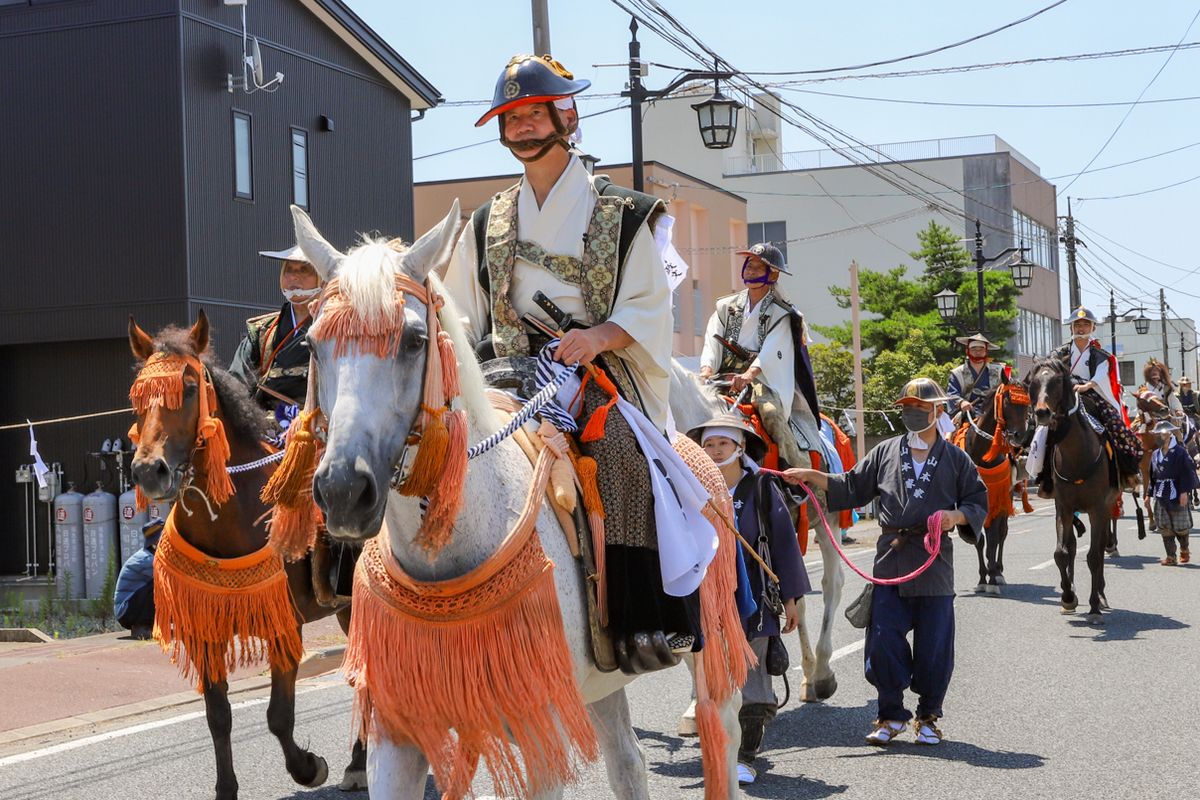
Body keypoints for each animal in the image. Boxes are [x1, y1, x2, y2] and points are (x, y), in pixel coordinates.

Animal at [126, 311, 362, 800]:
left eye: (189, 388)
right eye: (138, 394)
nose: (148, 469)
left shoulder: (283, 620)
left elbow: (278, 717)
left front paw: (309, 768)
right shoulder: (204, 625)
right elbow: (218, 716)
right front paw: (226, 788)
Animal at [290, 203, 739, 796]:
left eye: (413, 340)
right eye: (313, 344)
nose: (344, 490)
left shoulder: (538, 731)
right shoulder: (397, 732)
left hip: (713, 634)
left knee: (722, 729)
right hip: (601, 678)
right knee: (628, 759)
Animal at [955, 381, 1032, 594]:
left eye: (1027, 405)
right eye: (1006, 401)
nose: (1019, 436)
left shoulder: (997, 497)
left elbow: (994, 538)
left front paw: (993, 578)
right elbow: (980, 540)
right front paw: (983, 579)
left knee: (1002, 533)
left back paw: (998, 571)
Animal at [1027, 359, 1118, 623]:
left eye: (1057, 380)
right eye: (1033, 382)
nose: (1042, 412)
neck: (1077, 455)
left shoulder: (1098, 508)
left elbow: (1095, 556)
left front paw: (1094, 604)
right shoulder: (1064, 507)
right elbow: (1061, 553)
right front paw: (1068, 597)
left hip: (1107, 506)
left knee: (1100, 547)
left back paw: (1101, 595)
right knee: (1072, 546)